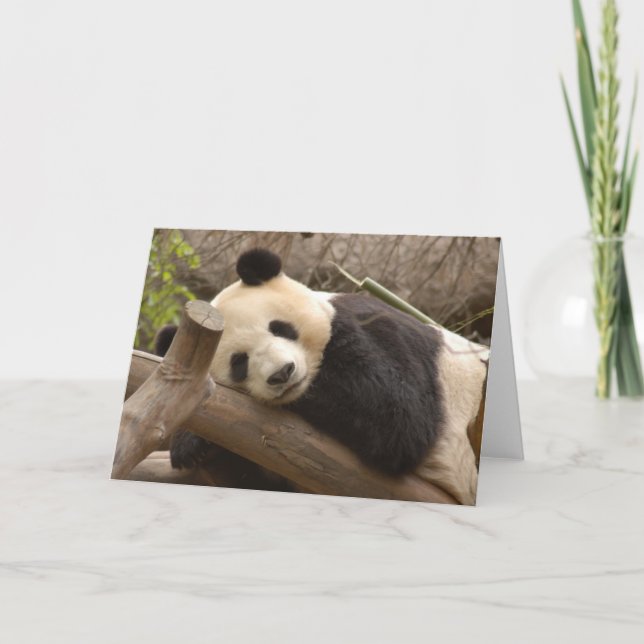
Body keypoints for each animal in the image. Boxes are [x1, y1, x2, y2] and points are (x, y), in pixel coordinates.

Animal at [157, 248, 489, 505]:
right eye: (239, 361)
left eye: (280, 328)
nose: (283, 373)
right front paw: (191, 445)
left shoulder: (378, 326)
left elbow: (400, 417)